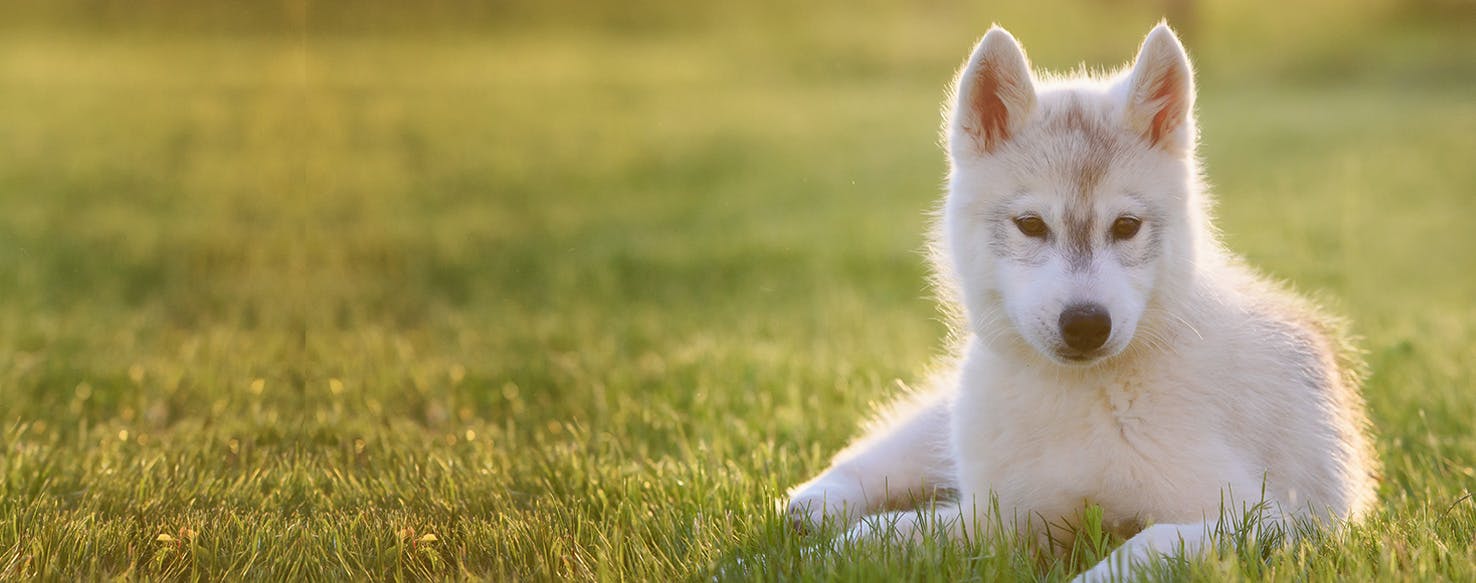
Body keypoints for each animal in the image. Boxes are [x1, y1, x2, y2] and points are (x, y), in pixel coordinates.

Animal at [791, 21, 1375, 578]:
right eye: (1030, 225)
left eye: (1127, 226)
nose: (1086, 324)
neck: (1083, 397)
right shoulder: (1000, 516)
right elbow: (881, 535)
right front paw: (811, 555)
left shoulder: (1267, 520)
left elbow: (1143, 545)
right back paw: (809, 506)